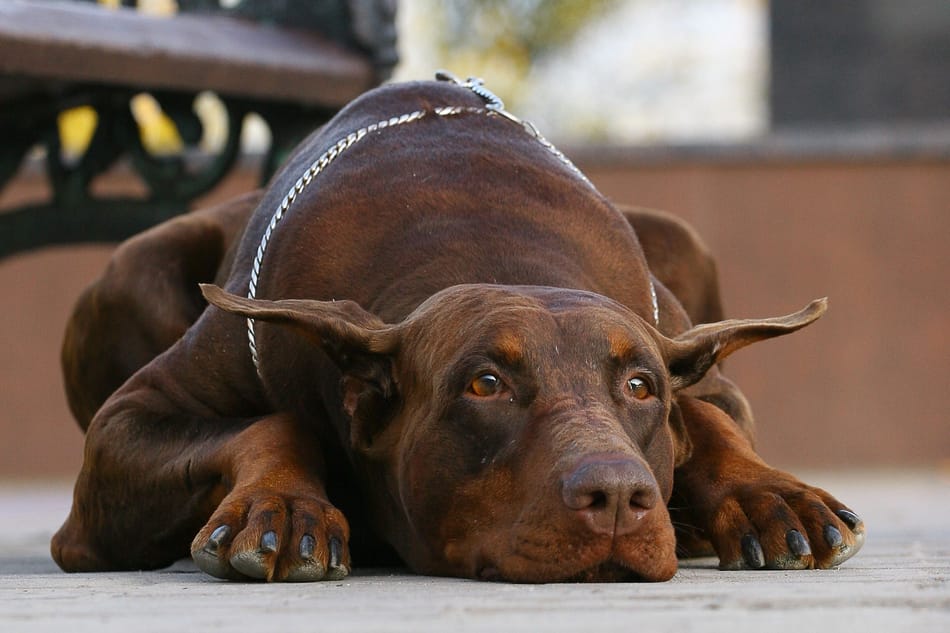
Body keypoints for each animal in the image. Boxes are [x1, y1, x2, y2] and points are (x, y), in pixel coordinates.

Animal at [55, 76, 868, 580]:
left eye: (642, 387)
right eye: (485, 383)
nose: (617, 499)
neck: (486, 241)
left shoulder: (689, 360)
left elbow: (710, 415)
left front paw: (768, 496)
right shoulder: (126, 429)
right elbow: (270, 422)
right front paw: (282, 506)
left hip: (680, 235)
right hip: (135, 267)